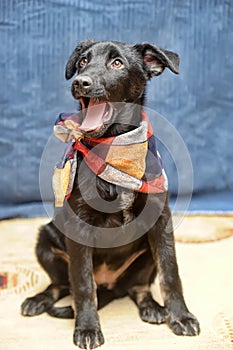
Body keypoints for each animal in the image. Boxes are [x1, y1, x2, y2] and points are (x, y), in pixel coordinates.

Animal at [21, 40, 199, 348]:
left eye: (117, 63)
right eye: (82, 61)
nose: (81, 82)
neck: (115, 149)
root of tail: (111, 285)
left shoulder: (161, 221)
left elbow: (170, 273)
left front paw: (180, 316)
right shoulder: (79, 225)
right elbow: (82, 284)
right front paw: (88, 328)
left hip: (144, 256)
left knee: (138, 287)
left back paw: (152, 307)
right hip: (45, 241)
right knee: (63, 283)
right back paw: (38, 299)